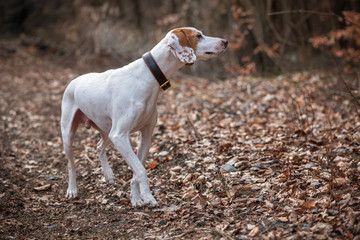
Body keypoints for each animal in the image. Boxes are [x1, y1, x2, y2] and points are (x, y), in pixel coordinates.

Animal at [60, 26, 226, 206]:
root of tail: (74, 81)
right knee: (71, 165)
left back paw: (108, 174)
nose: (225, 41)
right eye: (198, 36)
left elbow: (137, 170)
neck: (147, 77)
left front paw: (136, 198)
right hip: (69, 135)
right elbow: (140, 170)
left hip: (106, 130)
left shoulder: (145, 135)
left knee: (99, 147)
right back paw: (72, 189)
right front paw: (148, 196)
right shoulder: (120, 136)